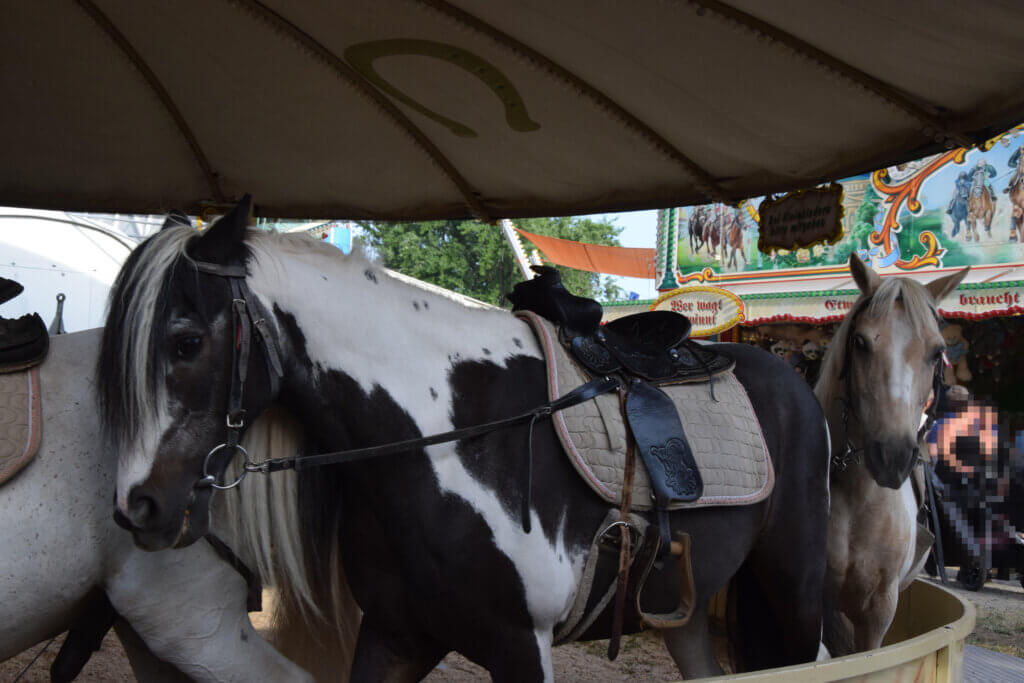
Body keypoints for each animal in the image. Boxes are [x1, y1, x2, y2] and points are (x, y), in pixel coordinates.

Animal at [96, 200, 831, 679]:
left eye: (186, 341)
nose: (137, 507)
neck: (450, 446)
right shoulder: (394, 635)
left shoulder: (522, 645)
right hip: (684, 613)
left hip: (796, 593)